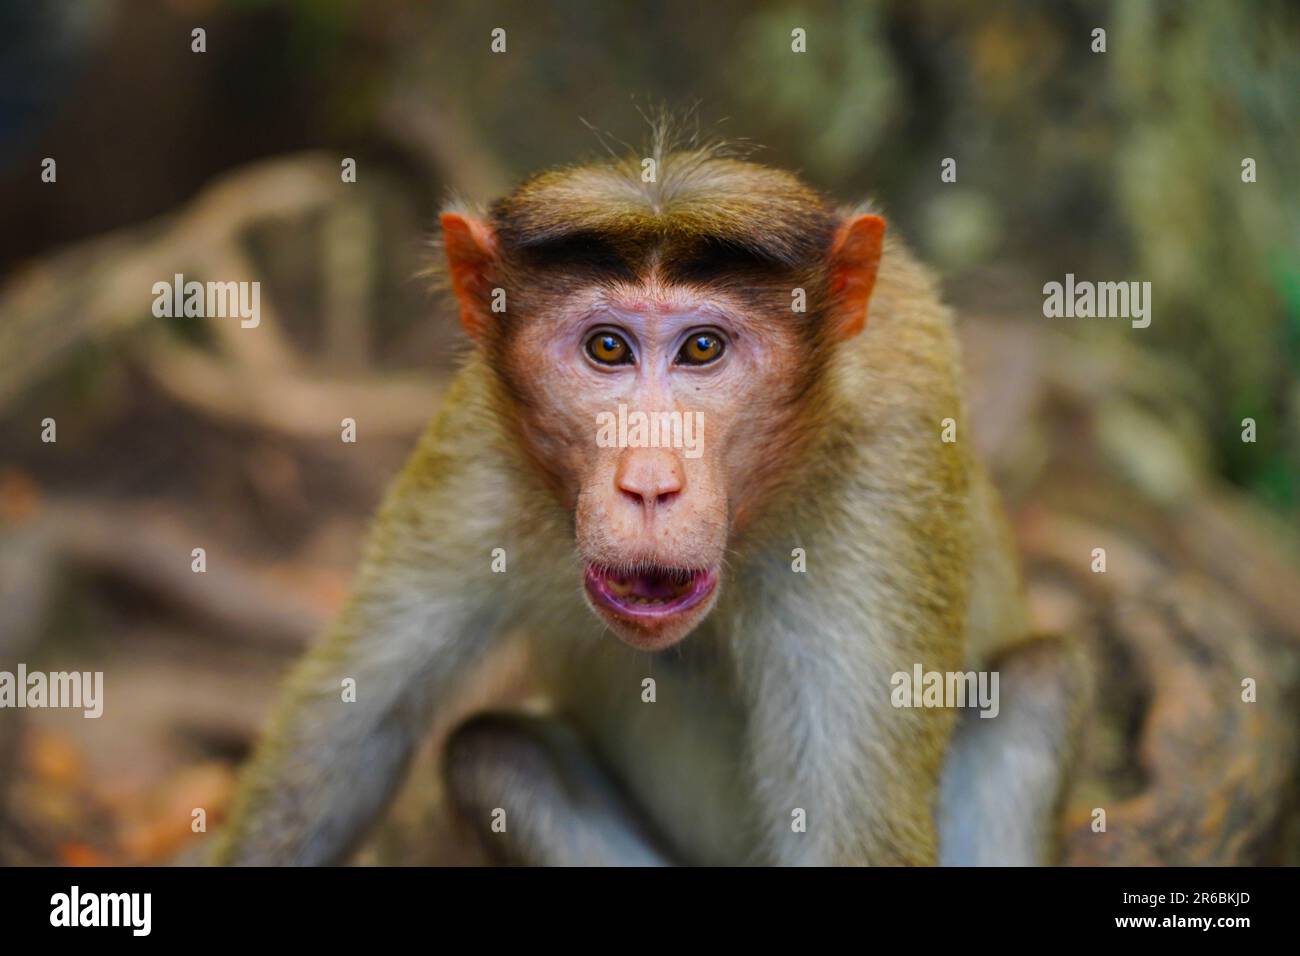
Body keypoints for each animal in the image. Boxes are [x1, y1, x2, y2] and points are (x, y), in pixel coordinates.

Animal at [210, 141, 1086, 868]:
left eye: (703, 348)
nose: (651, 483)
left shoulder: (888, 462)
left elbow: (854, 839)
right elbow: (346, 736)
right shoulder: (480, 445)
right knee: (496, 754)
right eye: (607, 347)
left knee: (1039, 682)